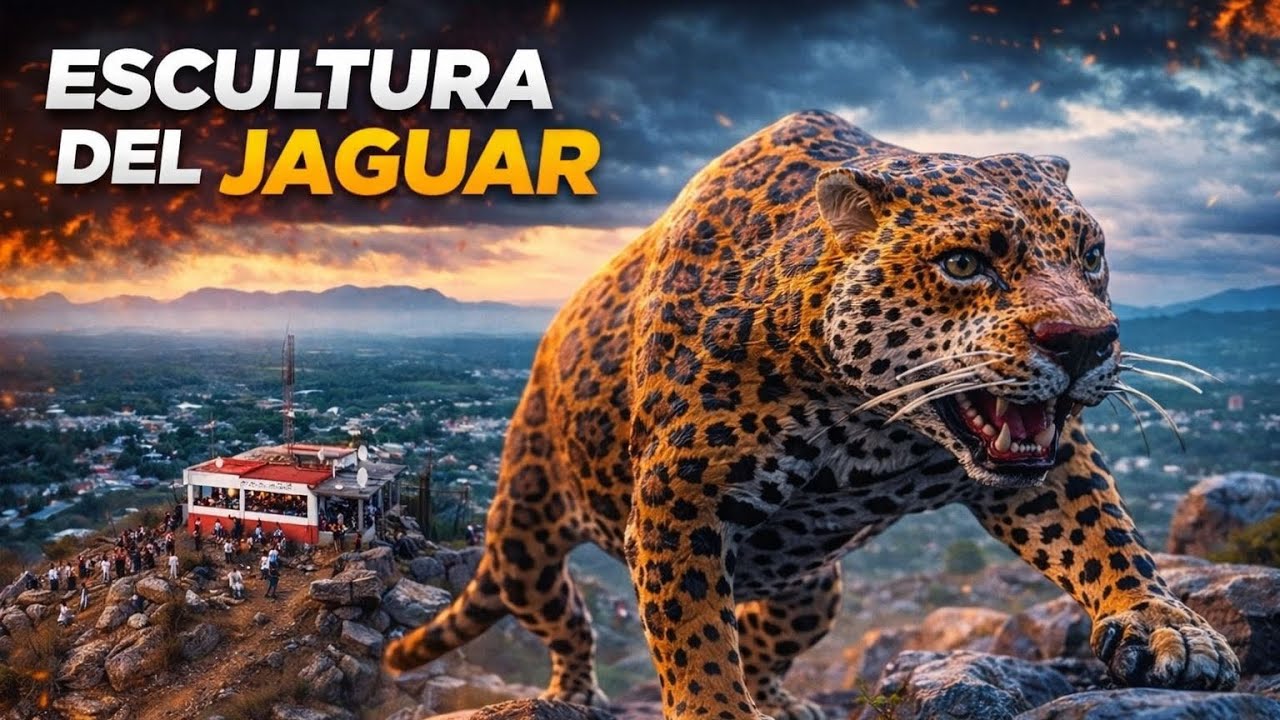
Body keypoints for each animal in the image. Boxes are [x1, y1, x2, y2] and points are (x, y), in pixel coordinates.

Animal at [383, 110, 1240, 719]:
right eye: (964, 264)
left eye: (1091, 255)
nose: (1086, 342)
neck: (871, 421)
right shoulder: (676, 493)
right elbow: (692, 632)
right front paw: (715, 710)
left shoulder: (1046, 463)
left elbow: (1105, 534)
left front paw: (1169, 626)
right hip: (525, 539)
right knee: (571, 624)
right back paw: (571, 694)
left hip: (812, 586)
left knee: (763, 638)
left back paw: (781, 701)